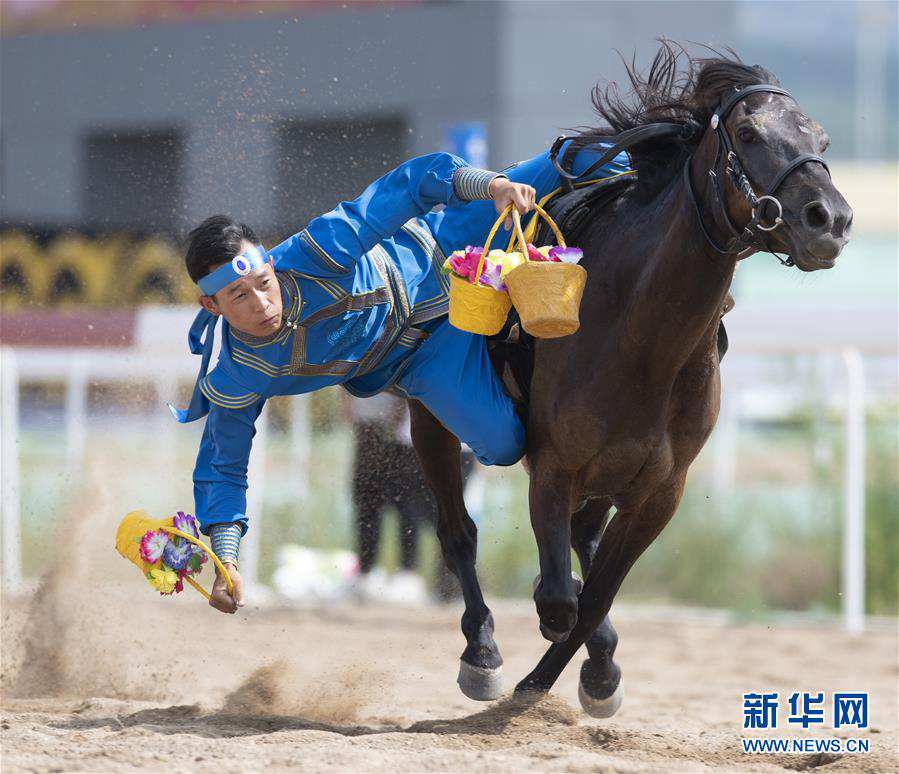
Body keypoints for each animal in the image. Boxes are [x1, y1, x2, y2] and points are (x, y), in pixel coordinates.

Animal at [408, 47, 852, 716]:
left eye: (821, 139)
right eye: (749, 133)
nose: (830, 219)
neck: (644, 341)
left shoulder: (659, 491)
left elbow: (594, 597)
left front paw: (583, 677)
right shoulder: (555, 465)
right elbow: (561, 598)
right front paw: (530, 667)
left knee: (583, 544)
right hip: (432, 417)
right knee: (460, 532)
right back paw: (480, 651)